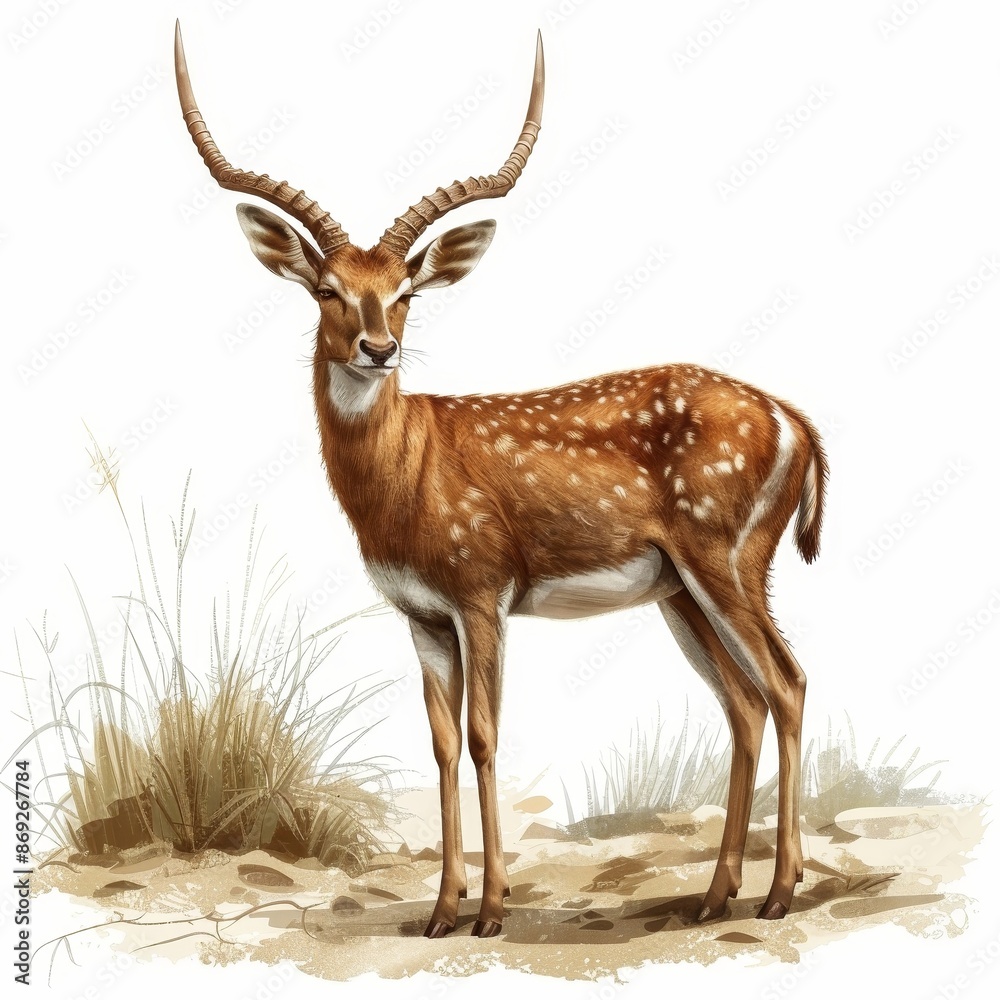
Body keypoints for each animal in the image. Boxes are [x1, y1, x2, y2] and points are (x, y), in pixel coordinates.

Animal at [174, 21, 828, 938]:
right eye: (328, 290)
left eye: (405, 291)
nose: (379, 348)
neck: (405, 480)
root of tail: (793, 421)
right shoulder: (420, 614)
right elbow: (443, 742)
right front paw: (441, 909)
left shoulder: (482, 589)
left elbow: (486, 736)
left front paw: (487, 909)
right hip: (680, 590)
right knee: (745, 701)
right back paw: (715, 893)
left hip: (728, 555)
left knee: (788, 682)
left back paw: (777, 891)